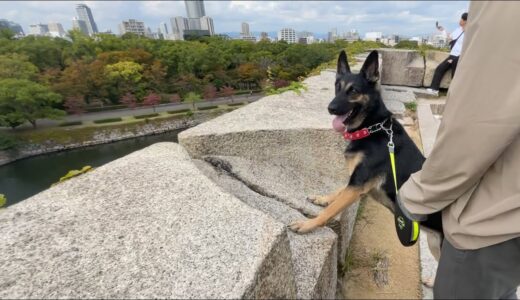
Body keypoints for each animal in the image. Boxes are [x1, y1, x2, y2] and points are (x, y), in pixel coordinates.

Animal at [290, 49, 440, 244]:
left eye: (353, 90)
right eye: (337, 86)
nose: (330, 108)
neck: (371, 128)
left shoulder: (358, 184)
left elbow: (331, 210)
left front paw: (308, 224)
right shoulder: (356, 181)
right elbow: (339, 191)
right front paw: (323, 198)